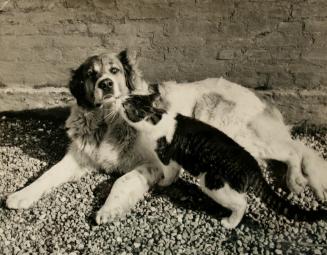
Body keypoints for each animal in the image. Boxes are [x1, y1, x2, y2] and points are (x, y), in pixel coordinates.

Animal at [119, 93, 326, 229]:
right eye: (129, 96)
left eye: (125, 105)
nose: (119, 99)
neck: (157, 118)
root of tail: (253, 168)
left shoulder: (168, 159)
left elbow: (169, 174)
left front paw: (163, 183)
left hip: (212, 183)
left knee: (242, 203)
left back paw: (230, 223)